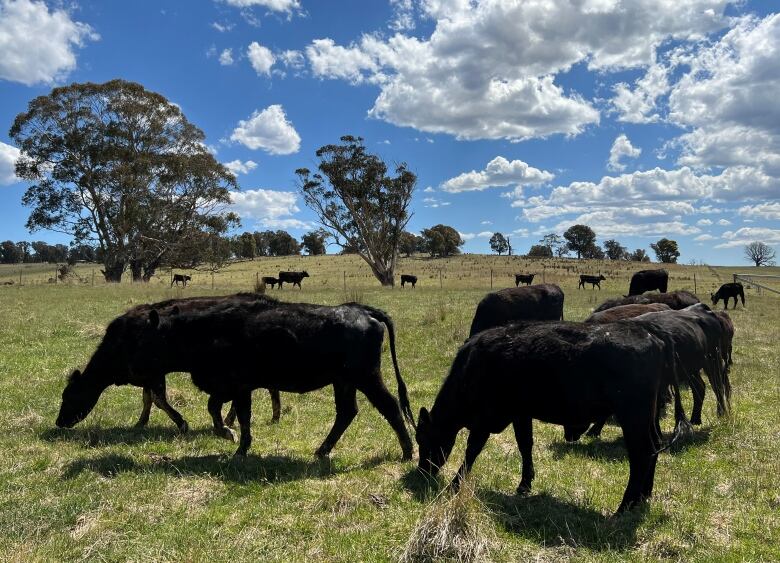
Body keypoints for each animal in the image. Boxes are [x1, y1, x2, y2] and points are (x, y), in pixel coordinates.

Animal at [54, 298, 414, 460]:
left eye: (69, 396)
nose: (59, 422)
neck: (206, 331)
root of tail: (362, 310)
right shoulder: (233, 387)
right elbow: (223, 410)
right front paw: (231, 437)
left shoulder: (236, 385)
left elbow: (235, 414)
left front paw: (235, 443)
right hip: (344, 382)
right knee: (346, 413)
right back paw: (321, 450)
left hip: (366, 377)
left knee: (390, 407)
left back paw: (408, 452)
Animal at [418, 320, 684, 512]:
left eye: (425, 441)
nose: (422, 471)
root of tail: (650, 333)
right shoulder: (520, 413)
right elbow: (525, 445)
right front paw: (525, 484)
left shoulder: (486, 416)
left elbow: (472, 450)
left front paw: (455, 483)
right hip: (648, 416)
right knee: (654, 447)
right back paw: (643, 496)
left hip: (633, 416)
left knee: (642, 453)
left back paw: (625, 506)